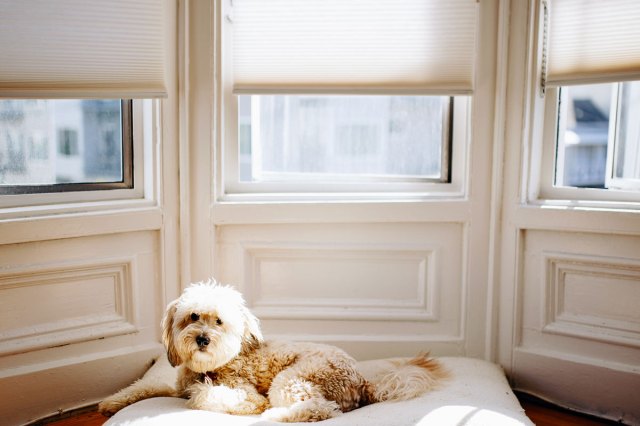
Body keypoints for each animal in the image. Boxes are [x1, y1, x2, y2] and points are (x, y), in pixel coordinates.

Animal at [101, 278, 450, 422]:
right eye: (193, 317)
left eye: (219, 322)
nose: (202, 339)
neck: (211, 367)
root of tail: (362, 380)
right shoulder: (174, 386)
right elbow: (145, 387)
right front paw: (111, 402)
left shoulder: (244, 394)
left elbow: (205, 395)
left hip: (292, 379)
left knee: (320, 409)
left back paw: (275, 415)